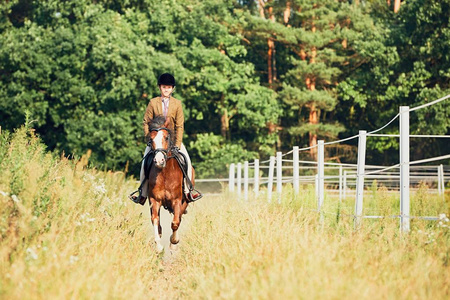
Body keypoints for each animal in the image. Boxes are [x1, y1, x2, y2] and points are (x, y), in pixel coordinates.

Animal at [146, 116, 192, 252]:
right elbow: (155, 221)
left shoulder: (177, 200)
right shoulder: (154, 200)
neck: (165, 173)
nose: (159, 161)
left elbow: (175, 222)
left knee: (179, 217)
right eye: (151, 139)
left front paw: (174, 242)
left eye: (166, 137)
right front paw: (159, 246)